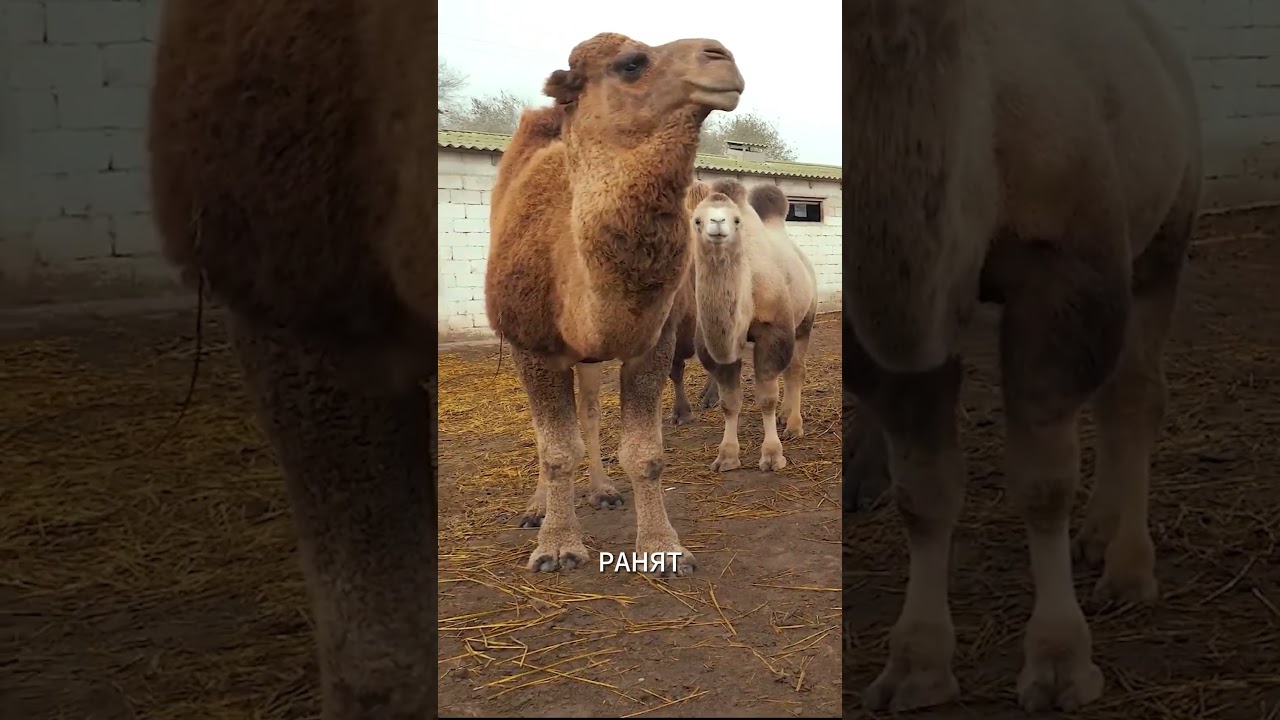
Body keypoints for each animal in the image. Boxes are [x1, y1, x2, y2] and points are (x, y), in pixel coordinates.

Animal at [485, 33, 744, 577]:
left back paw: (602, 490)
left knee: (587, 412)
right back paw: (537, 507)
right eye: (631, 64)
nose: (721, 56)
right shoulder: (532, 346)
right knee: (545, 434)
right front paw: (557, 546)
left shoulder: (651, 342)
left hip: (588, 358)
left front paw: (663, 548)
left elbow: (645, 455)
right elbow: (556, 452)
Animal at [690, 180, 818, 473]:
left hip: (805, 321)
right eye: (697, 220)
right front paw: (726, 456)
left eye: (736, 219)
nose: (717, 223)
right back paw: (785, 415)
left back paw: (794, 425)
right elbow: (729, 401)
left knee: (796, 370)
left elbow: (766, 397)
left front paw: (772, 455)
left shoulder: (773, 331)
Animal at [841, 0, 1202, 713]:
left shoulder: (1064, 268)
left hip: (1164, 238)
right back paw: (1097, 534)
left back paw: (1128, 569)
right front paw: (915, 667)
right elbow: (922, 489)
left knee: (1138, 393)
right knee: (1114, 398)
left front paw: (1061, 662)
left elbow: (1043, 481)